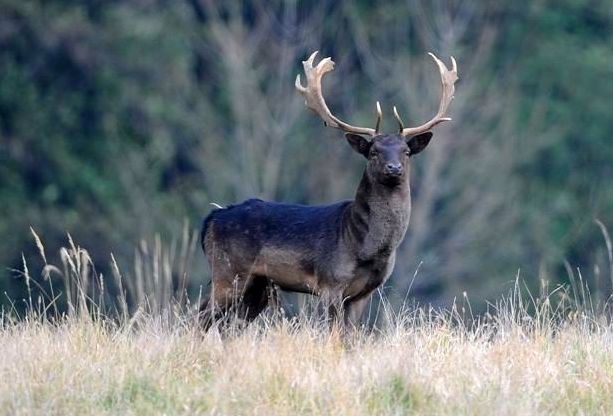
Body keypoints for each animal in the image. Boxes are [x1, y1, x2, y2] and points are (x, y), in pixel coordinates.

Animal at [198, 51, 456, 332]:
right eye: (373, 151)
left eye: (406, 152)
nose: (394, 168)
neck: (364, 246)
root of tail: (211, 219)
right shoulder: (330, 282)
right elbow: (332, 333)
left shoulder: (364, 293)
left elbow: (351, 335)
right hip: (227, 271)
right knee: (202, 315)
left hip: (258, 286)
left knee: (229, 325)